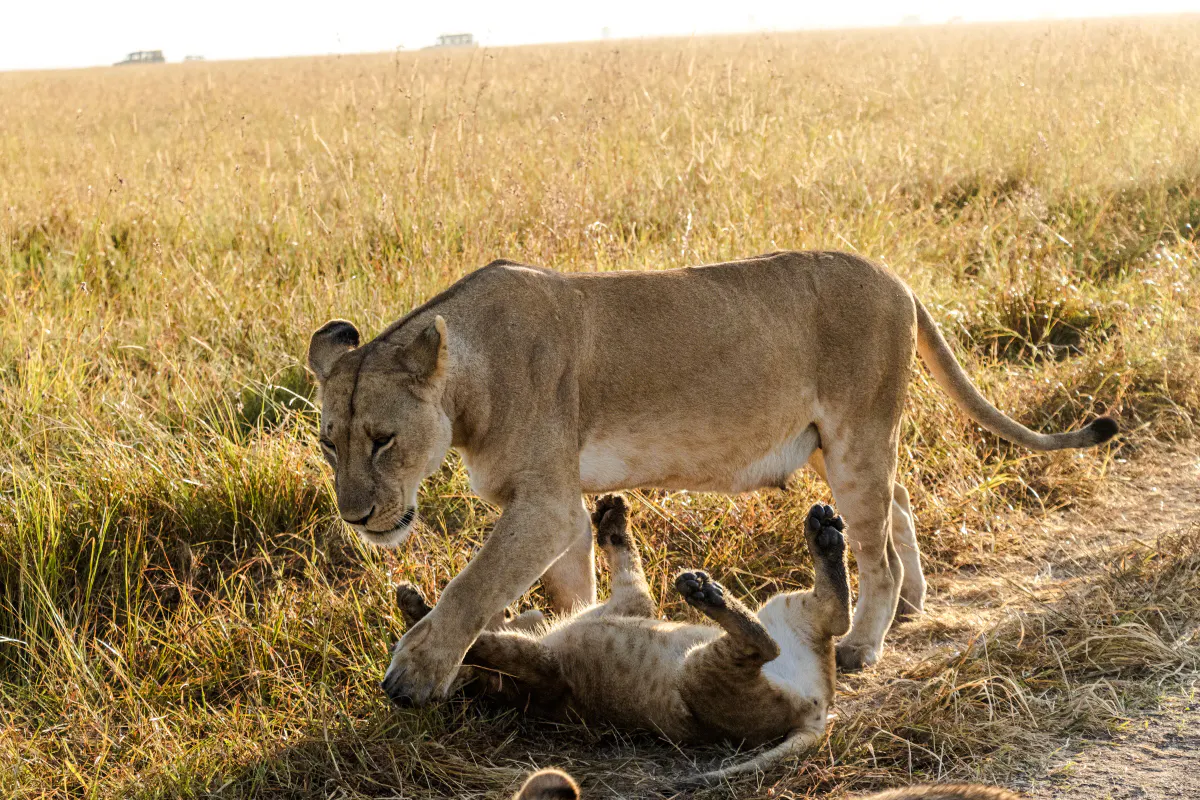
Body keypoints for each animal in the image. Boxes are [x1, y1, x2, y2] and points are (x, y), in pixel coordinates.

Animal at [306, 251, 1117, 704]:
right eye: (327, 444)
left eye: (382, 440)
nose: (356, 517)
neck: (467, 383)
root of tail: (898, 280)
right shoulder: (555, 505)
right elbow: (568, 592)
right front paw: (571, 632)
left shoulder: (545, 507)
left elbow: (473, 585)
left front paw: (416, 672)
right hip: (830, 443)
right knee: (900, 506)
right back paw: (912, 605)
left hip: (856, 437)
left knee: (876, 546)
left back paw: (865, 642)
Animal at [395, 496, 851, 783]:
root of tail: (818, 712)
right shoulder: (551, 667)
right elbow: (489, 646)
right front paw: (420, 620)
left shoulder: (626, 608)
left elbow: (625, 561)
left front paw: (612, 514)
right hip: (704, 674)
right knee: (779, 639)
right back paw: (707, 592)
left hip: (777, 613)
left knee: (830, 619)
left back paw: (823, 535)